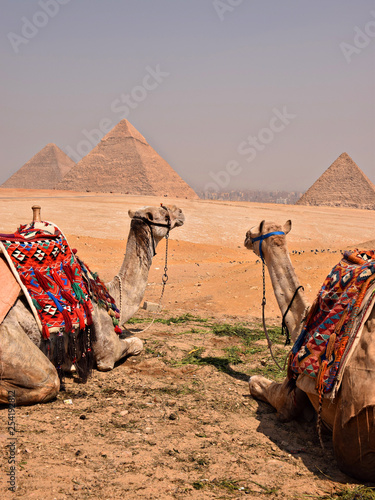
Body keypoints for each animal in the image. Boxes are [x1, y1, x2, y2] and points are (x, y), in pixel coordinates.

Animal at [0, 206, 185, 406]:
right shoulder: (107, 352)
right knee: (47, 381)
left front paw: (72, 366)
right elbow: (136, 343)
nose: (180, 212)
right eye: (165, 215)